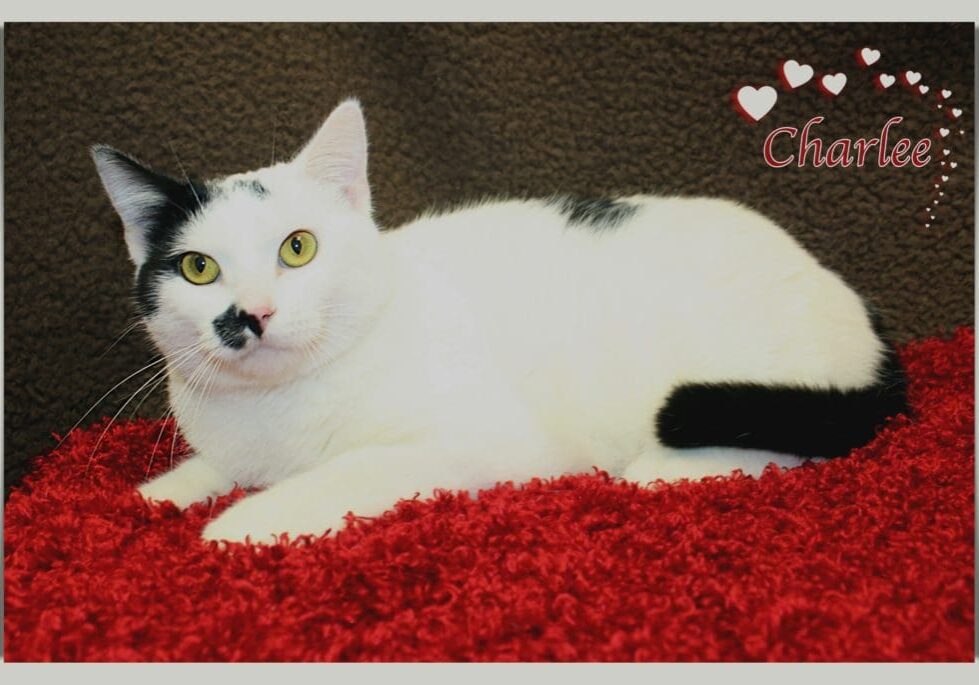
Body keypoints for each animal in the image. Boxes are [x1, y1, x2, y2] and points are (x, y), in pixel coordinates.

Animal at [94, 97, 912, 544]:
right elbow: (211, 466)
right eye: (199, 269)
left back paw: (663, 468)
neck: (277, 406)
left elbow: (349, 470)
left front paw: (242, 523)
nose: (252, 314)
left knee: (777, 441)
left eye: (298, 248)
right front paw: (159, 494)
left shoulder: (481, 441)